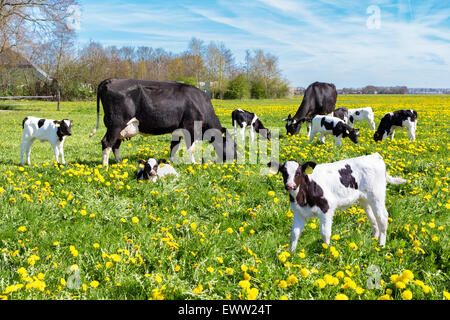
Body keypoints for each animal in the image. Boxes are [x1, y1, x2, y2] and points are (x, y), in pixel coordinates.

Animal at [88, 79, 236, 166]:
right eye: (233, 145)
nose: (235, 158)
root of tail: (111, 80)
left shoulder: (178, 130)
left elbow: (173, 146)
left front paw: (171, 163)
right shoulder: (191, 127)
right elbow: (191, 148)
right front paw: (194, 164)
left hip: (120, 128)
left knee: (115, 144)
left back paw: (119, 163)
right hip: (116, 123)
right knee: (107, 142)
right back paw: (105, 166)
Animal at [268, 153, 408, 252]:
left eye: (298, 173)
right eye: (284, 173)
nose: (290, 186)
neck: (302, 196)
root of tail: (375, 156)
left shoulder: (326, 209)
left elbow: (325, 233)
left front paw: (326, 251)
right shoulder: (298, 213)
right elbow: (294, 233)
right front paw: (291, 254)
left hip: (377, 196)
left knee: (383, 218)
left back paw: (381, 245)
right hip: (365, 199)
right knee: (373, 219)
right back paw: (374, 240)